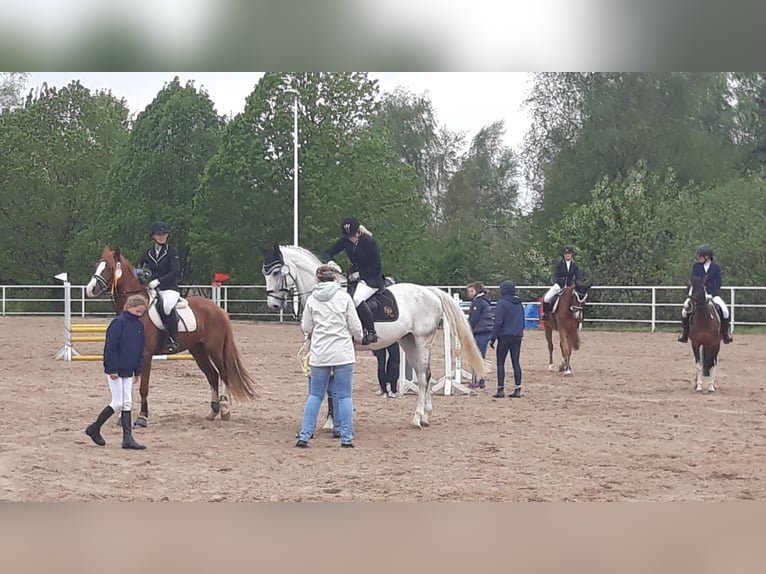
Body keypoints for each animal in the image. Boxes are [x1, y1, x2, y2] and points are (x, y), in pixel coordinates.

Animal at [85, 246, 257, 427]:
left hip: (214, 349)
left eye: (110, 268)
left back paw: (224, 410)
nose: (90, 289)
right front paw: (122, 417)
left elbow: (143, 387)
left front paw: (142, 417)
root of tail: (218, 310)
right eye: (96, 266)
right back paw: (212, 411)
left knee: (223, 373)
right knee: (212, 375)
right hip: (198, 350)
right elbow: (128, 387)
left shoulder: (146, 355)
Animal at [261, 244, 487, 429]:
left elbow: (332, 386)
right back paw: (425, 415)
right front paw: (333, 421)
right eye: (265, 273)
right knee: (425, 374)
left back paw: (417, 418)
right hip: (408, 341)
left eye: (276, 272)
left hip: (422, 340)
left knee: (423, 377)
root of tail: (430, 291)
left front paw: (332, 422)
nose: (273, 304)